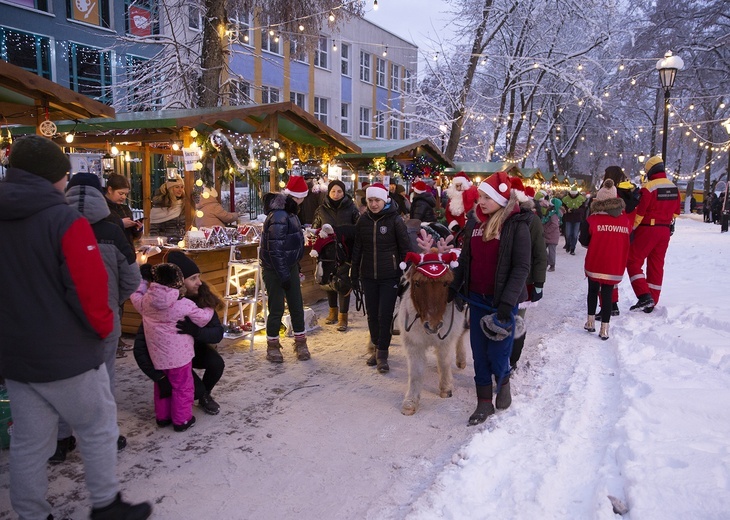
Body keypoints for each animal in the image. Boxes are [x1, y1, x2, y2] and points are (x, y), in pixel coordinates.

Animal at [398, 232, 466, 414]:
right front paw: (411, 402)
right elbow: (416, 372)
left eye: (445, 283)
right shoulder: (414, 343)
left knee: (462, 336)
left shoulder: (445, 340)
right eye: (417, 283)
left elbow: (444, 362)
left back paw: (461, 360)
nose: (433, 325)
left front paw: (446, 388)